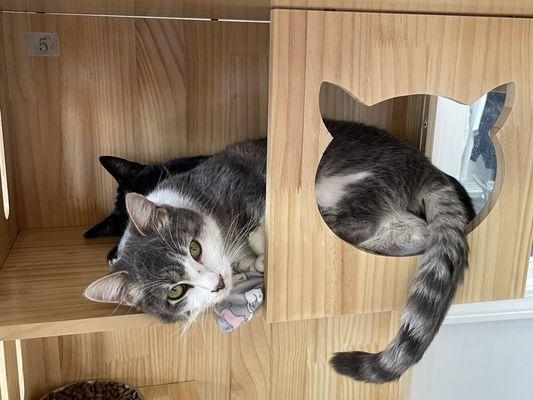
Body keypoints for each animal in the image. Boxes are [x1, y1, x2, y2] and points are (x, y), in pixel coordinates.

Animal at [85, 120, 472, 382]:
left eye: (194, 248)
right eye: (176, 292)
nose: (216, 283)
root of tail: (426, 167)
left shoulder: (252, 184)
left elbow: (262, 219)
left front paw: (259, 252)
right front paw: (247, 265)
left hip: (340, 185)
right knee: (412, 229)